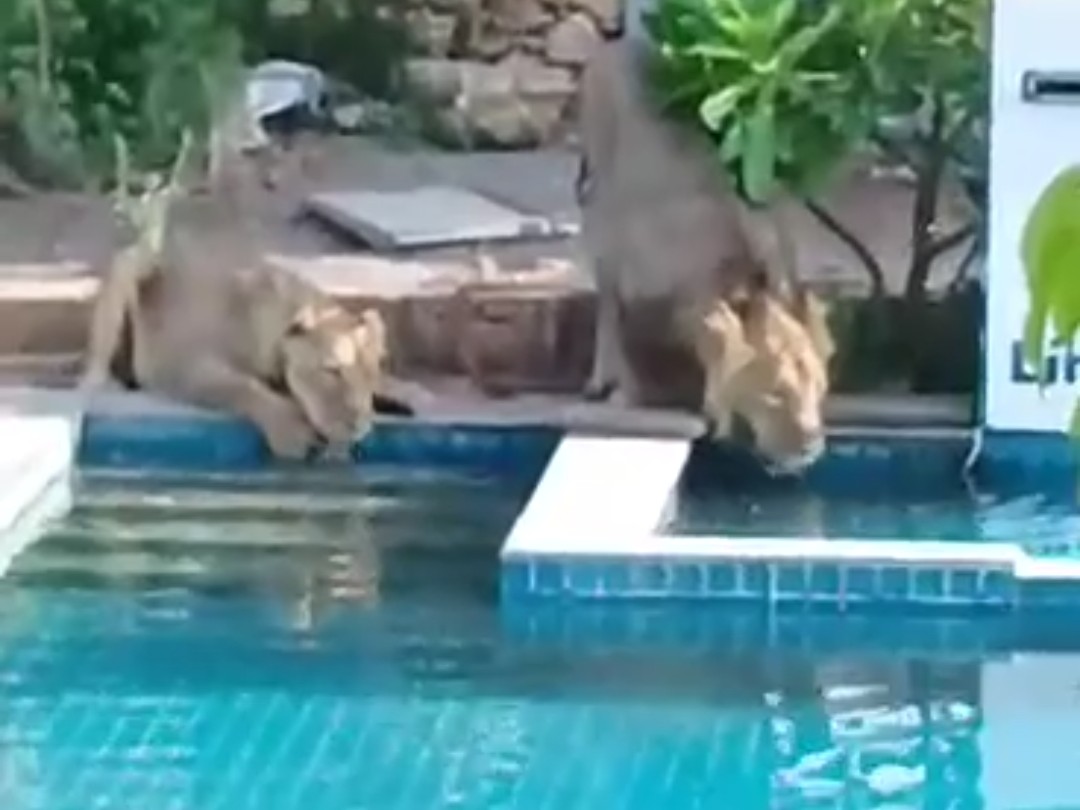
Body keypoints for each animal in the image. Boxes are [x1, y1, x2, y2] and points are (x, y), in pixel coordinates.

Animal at [576, 38, 835, 475]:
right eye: (775, 395)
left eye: (818, 388)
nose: (811, 448)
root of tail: (618, 42)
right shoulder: (643, 283)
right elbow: (628, 338)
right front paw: (629, 394)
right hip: (598, 199)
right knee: (605, 299)